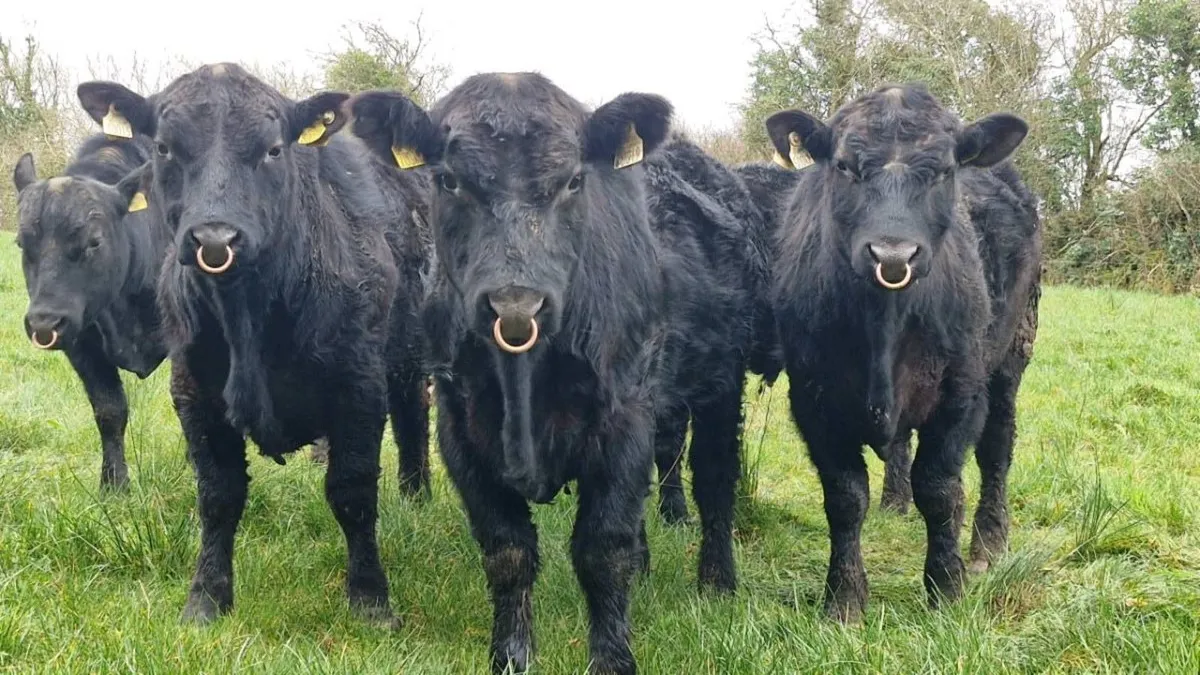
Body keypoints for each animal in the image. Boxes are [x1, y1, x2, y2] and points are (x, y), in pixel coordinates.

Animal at [11, 135, 168, 491]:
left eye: (93, 241)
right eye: (21, 243)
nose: (43, 321)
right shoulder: (81, 344)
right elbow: (110, 411)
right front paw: (114, 485)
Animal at [73, 61, 433, 626]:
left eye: (273, 149)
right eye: (164, 147)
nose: (215, 239)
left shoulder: (359, 387)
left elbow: (352, 490)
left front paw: (371, 600)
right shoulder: (194, 391)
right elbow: (218, 494)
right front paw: (206, 599)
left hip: (411, 352)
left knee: (413, 418)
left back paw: (416, 499)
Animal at [346, 72, 750, 675]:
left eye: (574, 181)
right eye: (448, 179)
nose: (516, 305)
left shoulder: (624, 419)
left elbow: (602, 548)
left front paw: (612, 660)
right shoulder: (460, 431)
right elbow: (507, 550)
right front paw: (510, 655)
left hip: (722, 383)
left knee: (715, 482)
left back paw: (718, 582)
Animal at [764, 83, 1042, 623]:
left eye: (944, 170)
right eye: (844, 166)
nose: (893, 255)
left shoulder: (961, 394)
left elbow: (940, 489)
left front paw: (946, 587)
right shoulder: (813, 399)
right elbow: (846, 497)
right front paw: (845, 599)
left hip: (1011, 355)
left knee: (997, 450)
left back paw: (988, 543)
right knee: (899, 447)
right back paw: (897, 500)